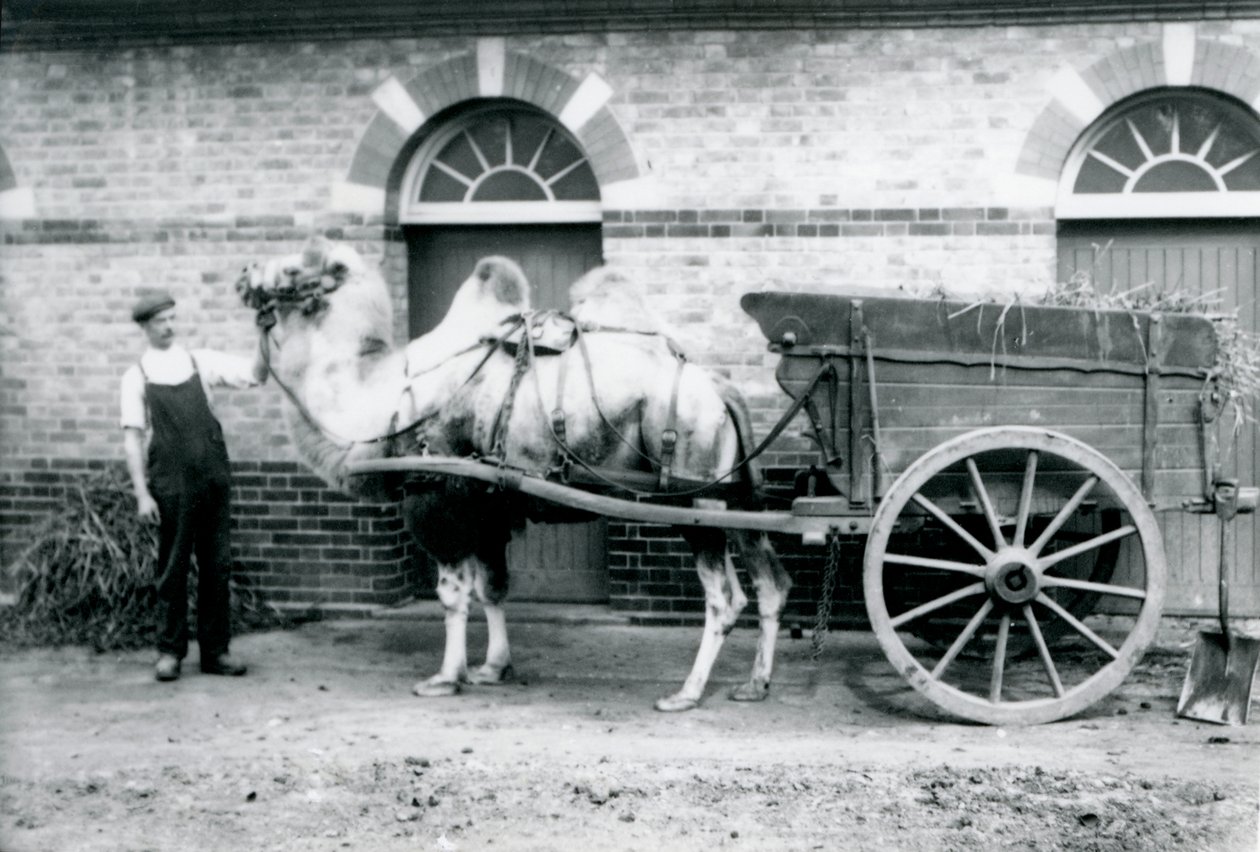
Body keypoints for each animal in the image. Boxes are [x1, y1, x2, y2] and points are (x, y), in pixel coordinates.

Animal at [236, 238, 791, 710]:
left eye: (294, 270)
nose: (243, 274)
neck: (382, 398)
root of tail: (720, 390)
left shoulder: (435, 492)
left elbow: (453, 592)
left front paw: (445, 677)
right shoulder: (487, 501)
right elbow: (494, 587)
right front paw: (493, 668)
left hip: (693, 497)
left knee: (725, 597)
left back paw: (686, 693)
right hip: (734, 497)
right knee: (771, 582)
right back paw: (755, 684)